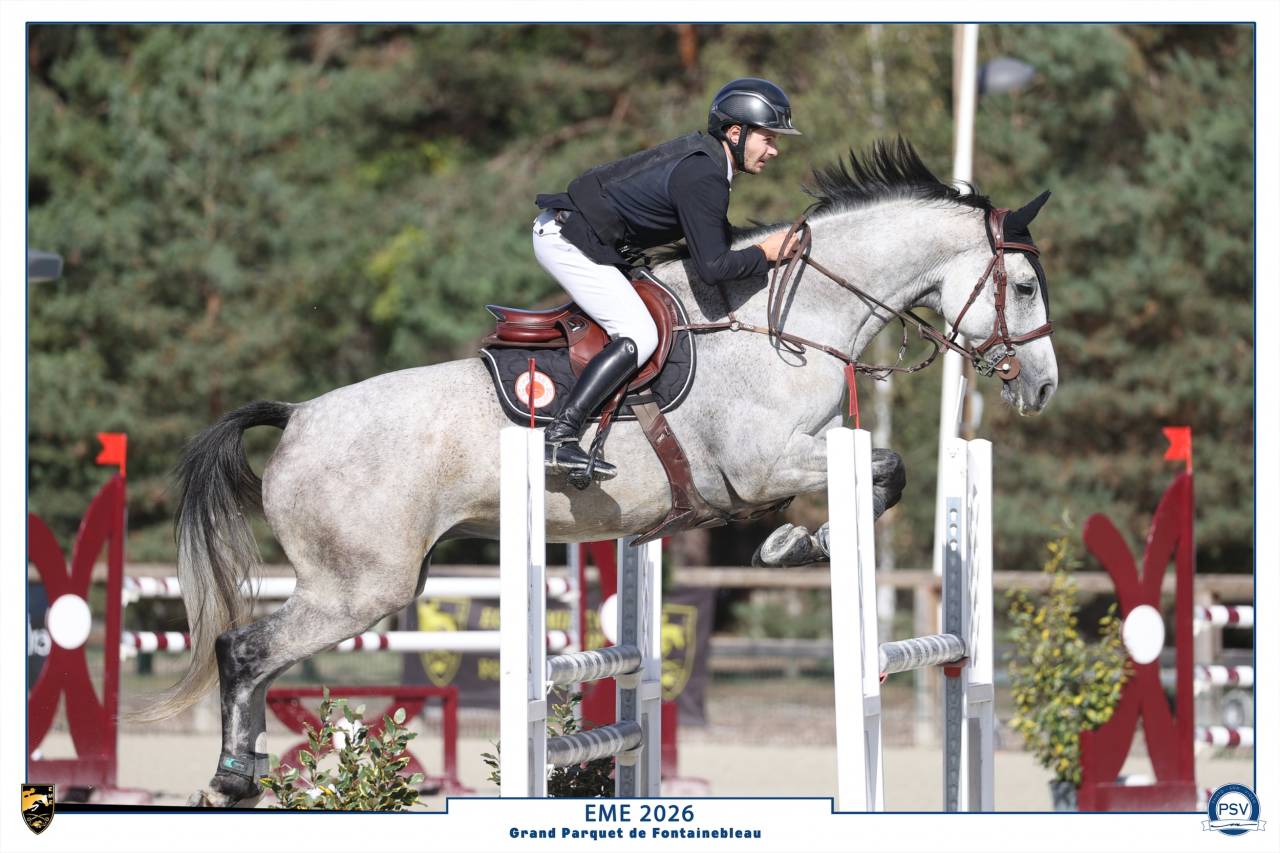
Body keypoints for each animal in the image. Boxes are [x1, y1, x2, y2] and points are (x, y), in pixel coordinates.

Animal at [134, 140, 1058, 807]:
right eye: (1021, 284)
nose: (1043, 388)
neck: (791, 315)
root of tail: (296, 417)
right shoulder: (760, 461)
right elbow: (882, 466)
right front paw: (799, 542)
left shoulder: (800, 449)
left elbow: (871, 472)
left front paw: (798, 540)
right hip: (361, 588)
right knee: (244, 649)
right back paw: (229, 776)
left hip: (366, 586)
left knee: (258, 658)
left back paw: (245, 771)